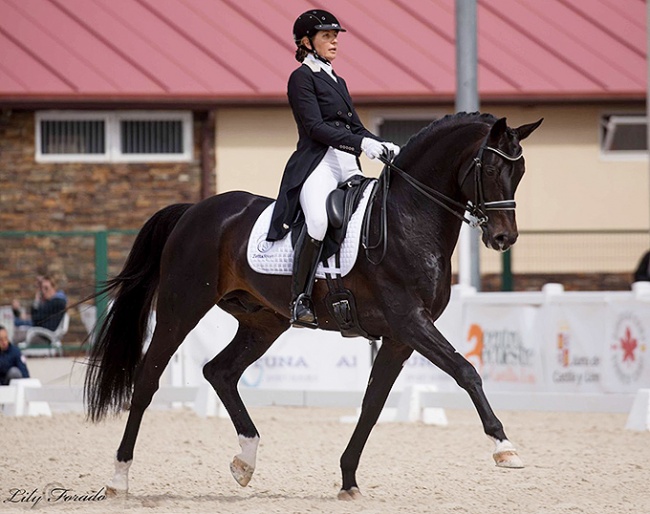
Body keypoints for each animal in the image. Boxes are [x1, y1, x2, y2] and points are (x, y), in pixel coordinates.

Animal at [86, 111, 540, 496]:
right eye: (491, 169)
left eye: (519, 172)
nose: (503, 238)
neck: (408, 217)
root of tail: (194, 210)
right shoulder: (411, 322)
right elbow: (467, 372)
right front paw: (505, 447)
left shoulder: (399, 337)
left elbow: (373, 403)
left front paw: (348, 480)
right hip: (181, 309)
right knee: (147, 380)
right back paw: (118, 479)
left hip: (264, 321)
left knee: (220, 372)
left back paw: (245, 461)